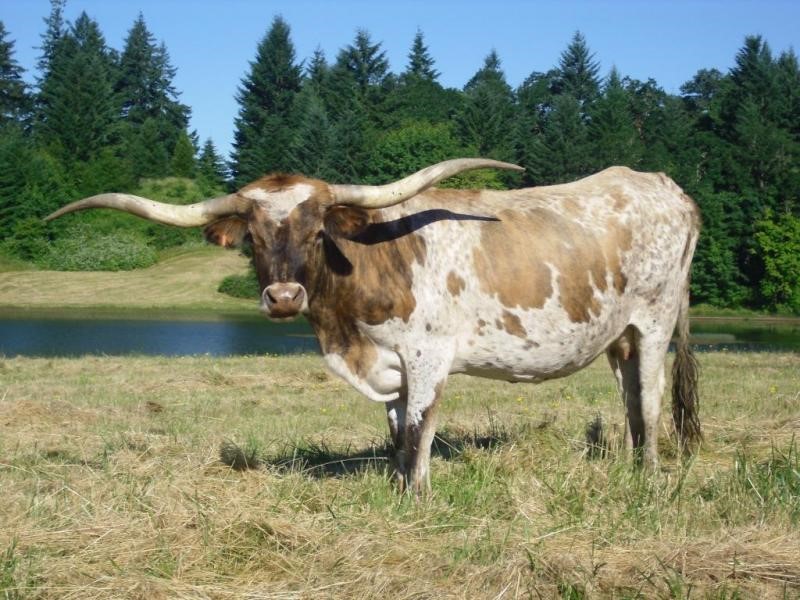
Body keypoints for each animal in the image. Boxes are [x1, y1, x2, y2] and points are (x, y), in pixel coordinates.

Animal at [46, 158, 701, 494]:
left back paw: (648, 480)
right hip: (617, 335)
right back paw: (625, 467)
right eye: (253, 238)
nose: (283, 297)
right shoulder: (389, 364)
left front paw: (418, 496)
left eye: (317, 231)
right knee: (628, 397)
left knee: (649, 399)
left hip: (654, 319)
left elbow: (418, 430)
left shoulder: (429, 357)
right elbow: (393, 431)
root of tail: (665, 187)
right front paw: (397, 485)